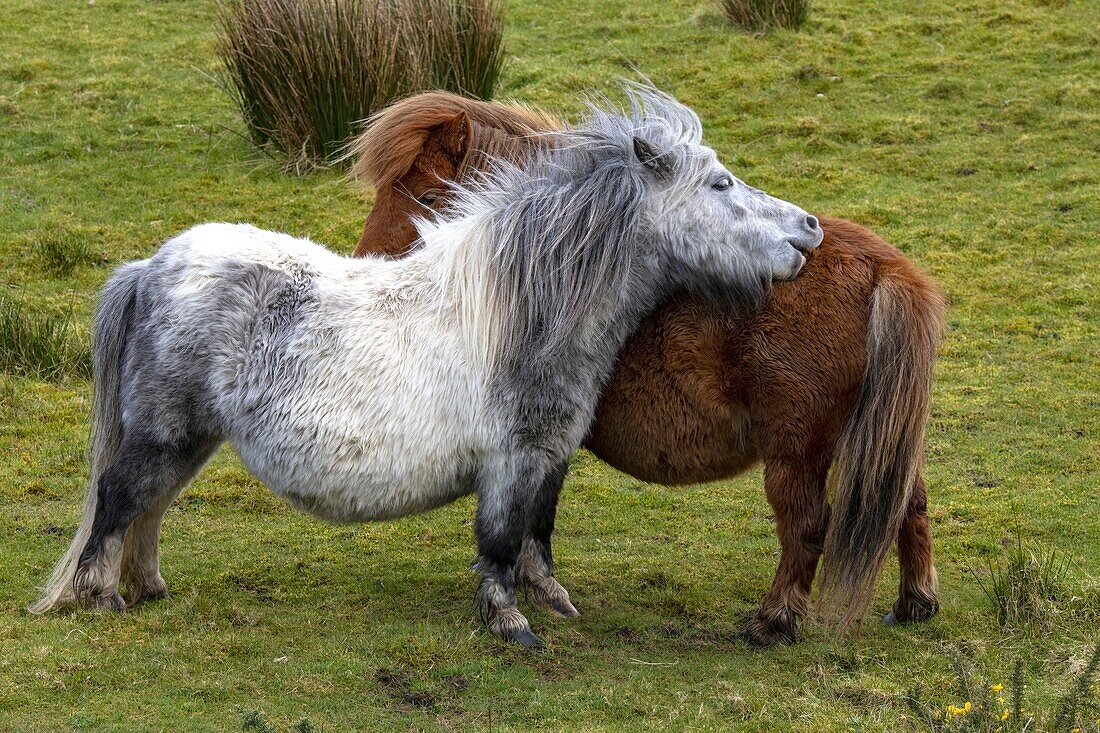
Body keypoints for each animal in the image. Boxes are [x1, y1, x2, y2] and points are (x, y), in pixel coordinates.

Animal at [30, 86, 822, 647]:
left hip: (189, 439)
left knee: (151, 505)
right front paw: (511, 625)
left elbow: (539, 536)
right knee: (119, 498)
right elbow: (500, 541)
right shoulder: (510, 459)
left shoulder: (550, 454)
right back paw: (102, 595)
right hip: (164, 432)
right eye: (719, 184)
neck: (526, 309)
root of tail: (152, 266)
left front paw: (552, 602)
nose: (809, 228)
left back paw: (150, 587)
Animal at [345, 88, 946, 642]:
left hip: (796, 451)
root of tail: (883, 266)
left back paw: (773, 621)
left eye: (427, 196)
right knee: (907, 505)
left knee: (806, 527)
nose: (364, 269)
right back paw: (914, 605)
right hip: (877, 436)